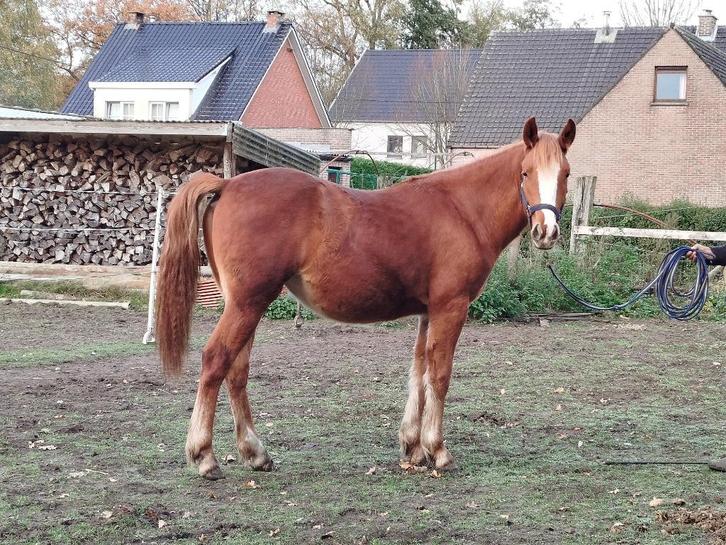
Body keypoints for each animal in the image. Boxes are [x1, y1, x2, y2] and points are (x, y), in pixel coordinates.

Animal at [155, 116, 576, 479]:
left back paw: (255, 452)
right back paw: (204, 456)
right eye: (526, 172)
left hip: (246, 305)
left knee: (237, 371)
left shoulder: (427, 312)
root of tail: (227, 186)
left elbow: (418, 373)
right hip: (248, 304)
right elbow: (439, 375)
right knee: (216, 361)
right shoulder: (451, 308)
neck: (461, 210)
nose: (546, 232)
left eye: (566, 174)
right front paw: (438, 450)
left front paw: (413, 447)